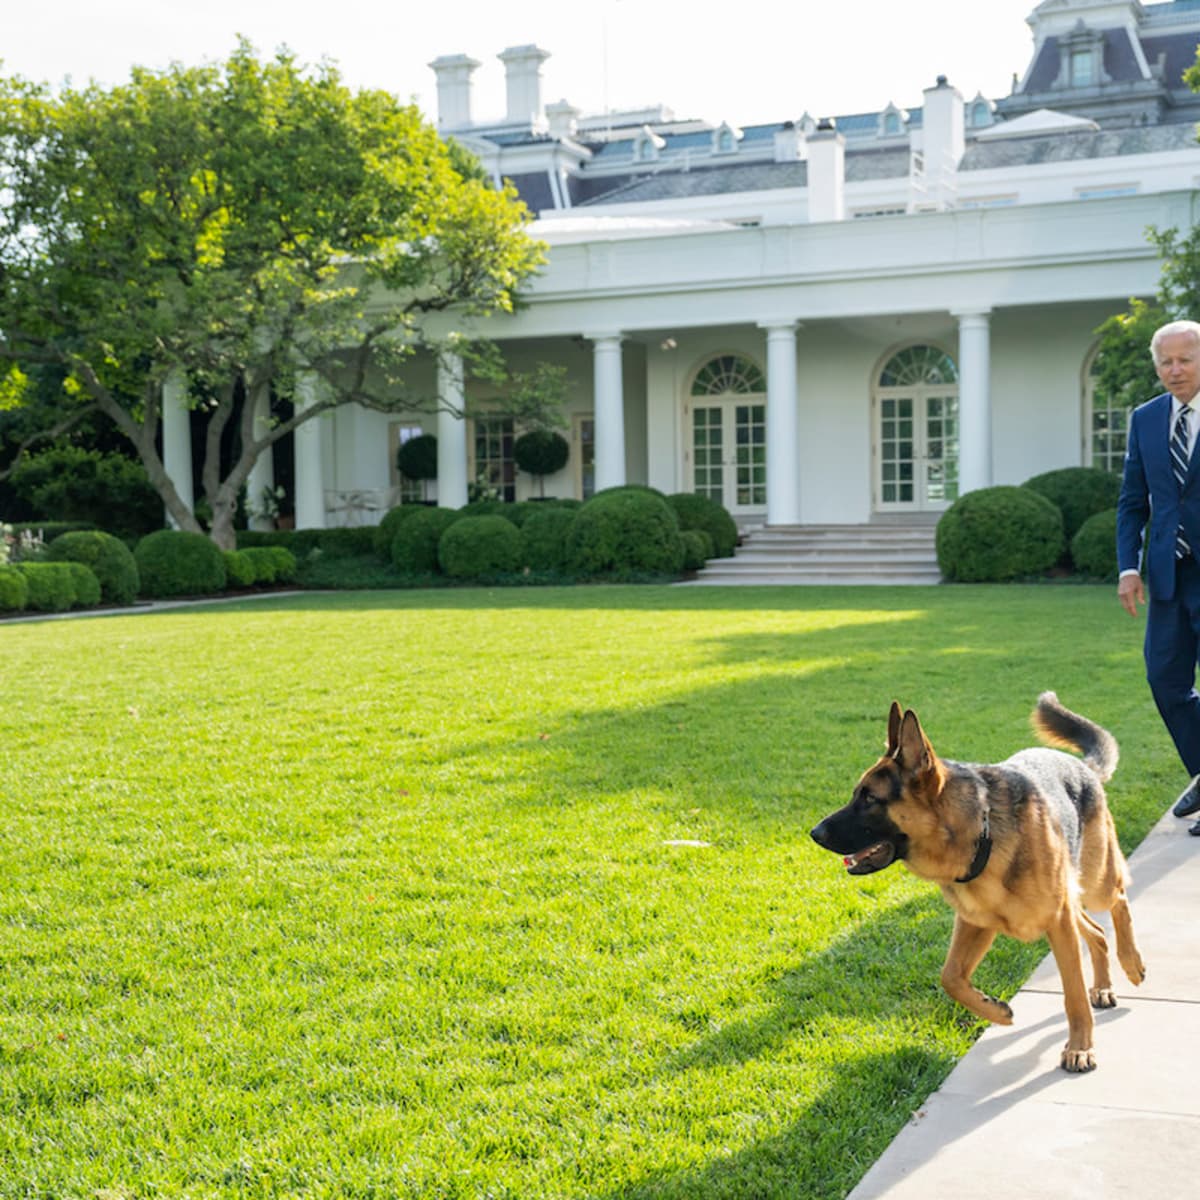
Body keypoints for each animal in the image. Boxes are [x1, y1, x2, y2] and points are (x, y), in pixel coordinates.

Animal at [806, 691, 1142, 1075]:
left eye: (870, 799)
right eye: (855, 795)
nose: (814, 833)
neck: (981, 833)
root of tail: (1083, 768)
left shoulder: (1057, 923)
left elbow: (1072, 995)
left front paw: (1080, 1048)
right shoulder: (977, 924)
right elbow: (950, 977)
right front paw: (996, 1010)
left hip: (1094, 882)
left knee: (1119, 899)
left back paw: (1132, 963)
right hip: (1070, 905)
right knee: (1098, 933)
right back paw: (1102, 987)